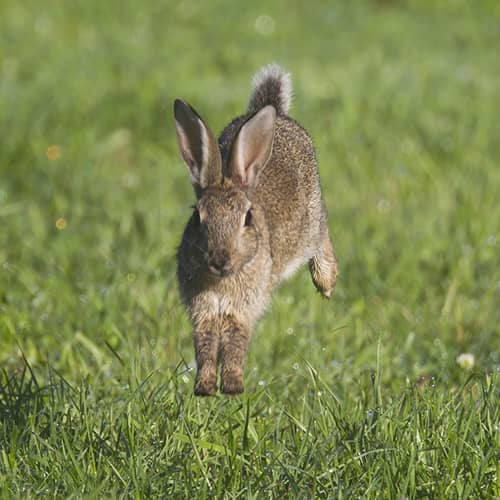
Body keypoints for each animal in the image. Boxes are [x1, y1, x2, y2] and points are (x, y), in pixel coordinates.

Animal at [174, 64, 338, 396]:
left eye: (246, 218)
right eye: (197, 217)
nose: (219, 260)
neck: (222, 281)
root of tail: (275, 111)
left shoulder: (243, 311)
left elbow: (236, 344)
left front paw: (232, 386)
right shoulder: (203, 313)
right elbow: (205, 347)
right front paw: (205, 387)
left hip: (313, 217)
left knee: (322, 239)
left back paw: (326, 283)